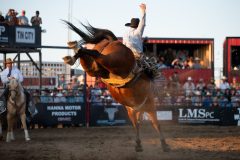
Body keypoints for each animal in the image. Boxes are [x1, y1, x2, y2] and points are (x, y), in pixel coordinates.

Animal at [62, 21, 169, 151]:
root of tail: (113, 40)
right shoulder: (150, 107)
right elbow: (156, 124)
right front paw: (164, 144)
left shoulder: (132, 110)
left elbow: (137, 124)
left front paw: (138, 144)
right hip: (113, 62)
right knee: (95, 53)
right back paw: (73, 51)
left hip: (96, 69)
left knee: (88, 56)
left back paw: (72, 52)